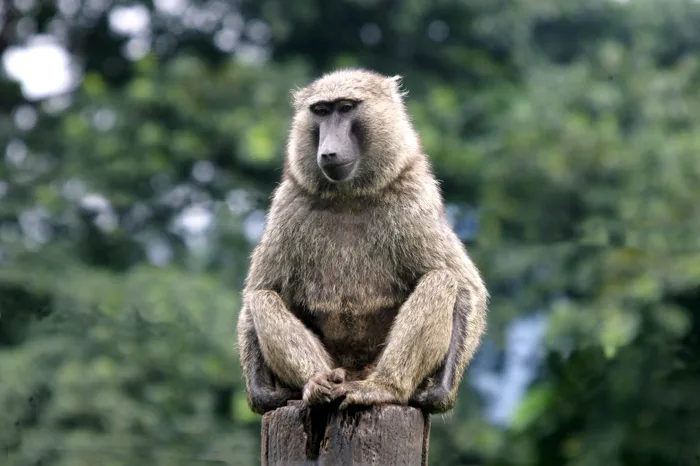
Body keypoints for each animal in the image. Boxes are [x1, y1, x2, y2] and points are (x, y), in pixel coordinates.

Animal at [236, 68, 489, 415]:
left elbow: (465, 286)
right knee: (263, 298)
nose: (328, 152)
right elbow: (258, 290)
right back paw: (317, 384)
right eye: (321, 111)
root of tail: (355, 373)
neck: (349, 196)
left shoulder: (413, 201)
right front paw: (262, 394)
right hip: (337, 364)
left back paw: (384, 388)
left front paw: (439, 393)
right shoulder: (288, 205)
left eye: (345, 108)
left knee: (441, 280)